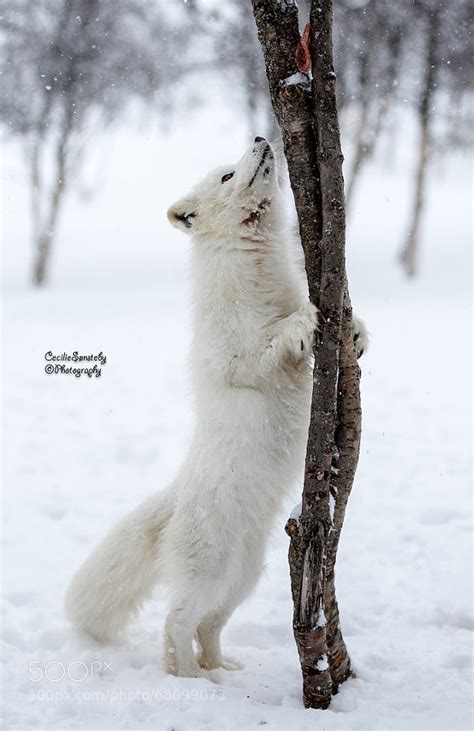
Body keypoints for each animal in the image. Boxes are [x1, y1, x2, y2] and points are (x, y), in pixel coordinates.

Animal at [65, 139, 366, 680]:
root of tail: (175, 497)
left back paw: (222, 669)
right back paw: (189, 678)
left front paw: (356, 332)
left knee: (208, 626)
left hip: (243, 578)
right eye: (227, 175)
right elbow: (268, 347)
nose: (262, 139)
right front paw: (302, 322)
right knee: (175, 622)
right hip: (209, 570)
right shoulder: (232, 357)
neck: (260, 280)